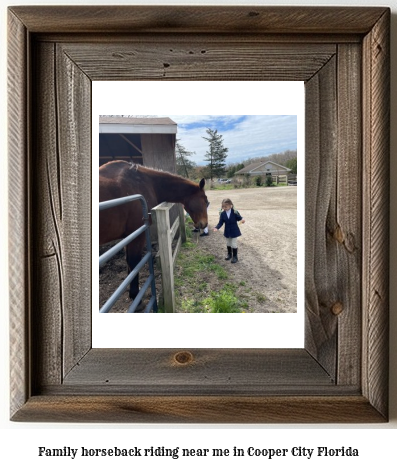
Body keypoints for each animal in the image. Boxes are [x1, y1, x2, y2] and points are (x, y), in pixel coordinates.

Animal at [99, 160, 207, 304]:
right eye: (205, 201)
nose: (204, 224)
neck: (144, 182)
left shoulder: (128, 235)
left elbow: (129, 264)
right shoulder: (137, 234)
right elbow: (134, 262)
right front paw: (135, 296)